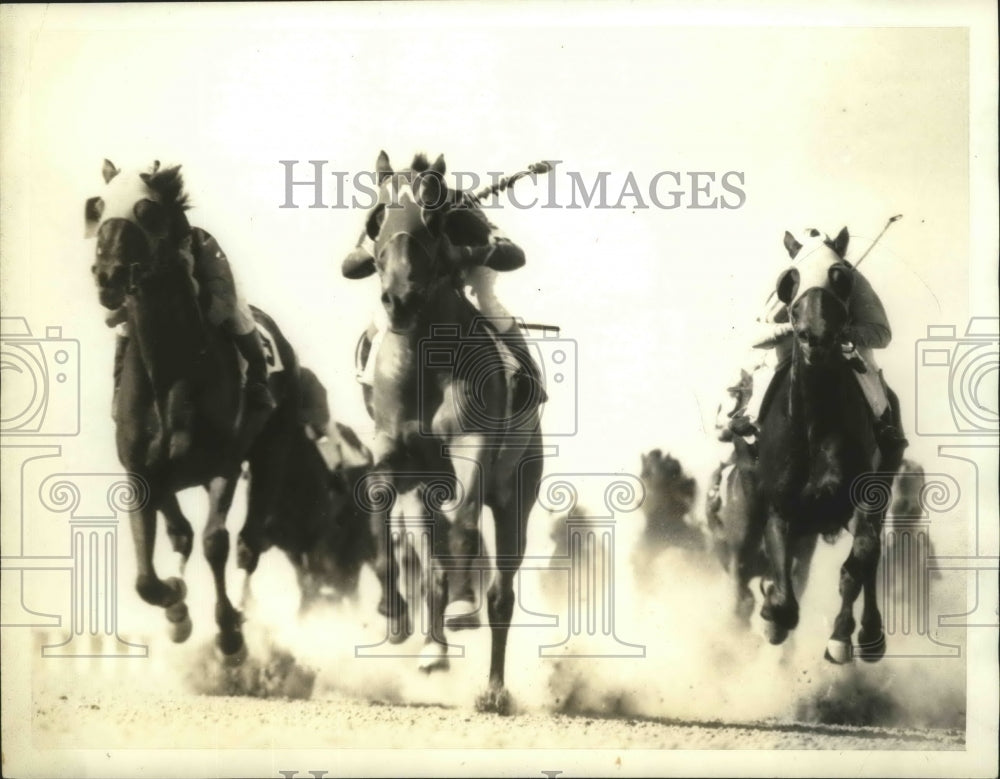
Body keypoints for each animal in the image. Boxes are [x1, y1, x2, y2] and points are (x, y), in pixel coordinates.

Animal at [87, 161, 300, 660]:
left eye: (146, 212)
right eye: (100, 208)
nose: (107, 276)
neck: (169, 371)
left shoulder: (223, 466)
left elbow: (214, 542)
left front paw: (229, 633)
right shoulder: (143, 474)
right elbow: (147, 574)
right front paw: (176, 605)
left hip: (272, 454)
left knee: (248, 544)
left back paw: (240, 612)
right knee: (183, 534)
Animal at [344, 151, 548, 712]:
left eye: (434, 220)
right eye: (377, 218)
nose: (399, 298)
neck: (423, 361)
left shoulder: (471, 447)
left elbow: (465, 516)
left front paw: (462, 606)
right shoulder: (394, 454)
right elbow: (378, 508)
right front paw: (393, 612)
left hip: (519, 490)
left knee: (500, 588)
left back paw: (492, 687)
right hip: (423, 491)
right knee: (431, 564)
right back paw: (431, 647)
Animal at [712, 230, 908, 664]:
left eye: (841, 275)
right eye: (790, 280)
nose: (814, 335)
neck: (815, 424)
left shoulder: (861, 498)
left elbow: (862, 558)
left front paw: (843, 636)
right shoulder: (780, 507)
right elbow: (781, 596)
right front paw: (772, 615)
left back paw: (869, 634)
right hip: (746, 525)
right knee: (741, 582)